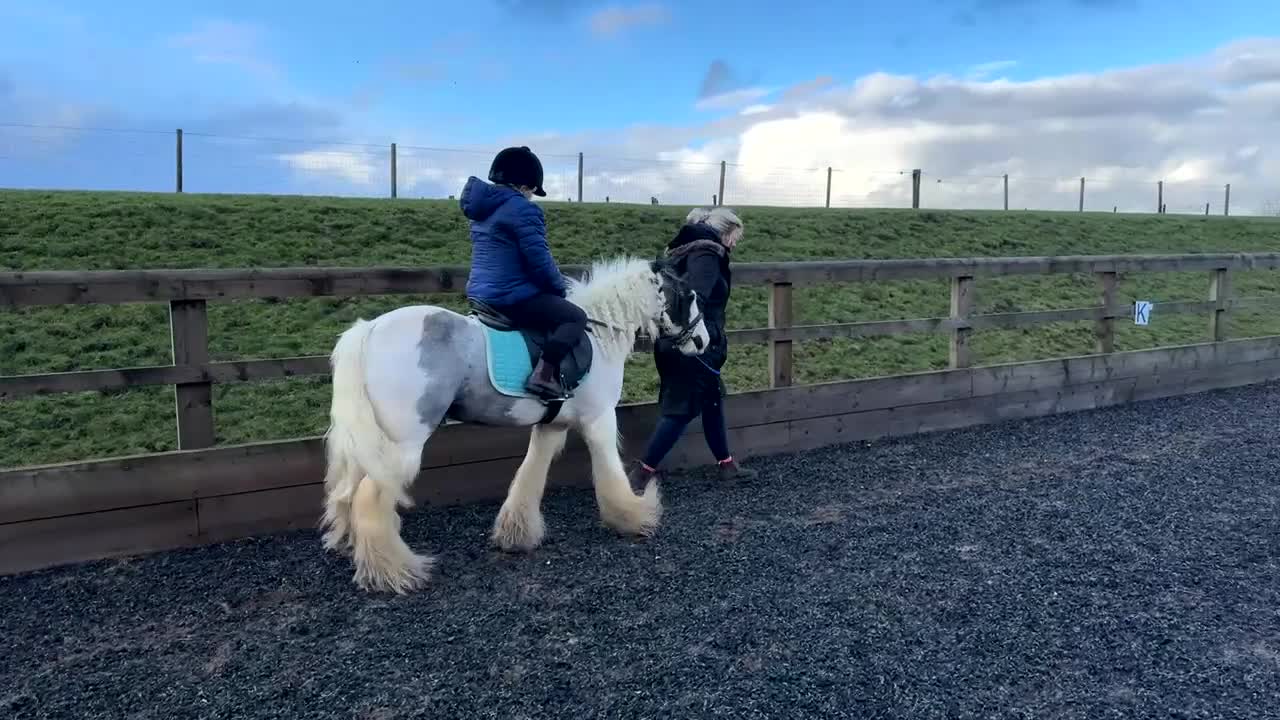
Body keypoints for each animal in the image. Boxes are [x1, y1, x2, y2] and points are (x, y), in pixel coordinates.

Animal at [318, 254, 712, 593]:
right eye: (690, 296)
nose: (702, 342)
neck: (600, 334)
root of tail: (369, 330)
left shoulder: (551, 426)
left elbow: (530, 473)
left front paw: (516, 534)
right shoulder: (599, 418)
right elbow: (610, 473)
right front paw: (635, 516)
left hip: (374, 442)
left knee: (350, 491)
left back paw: (356, 549)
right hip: (403, 444)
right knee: (369, 497)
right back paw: (394, 570)